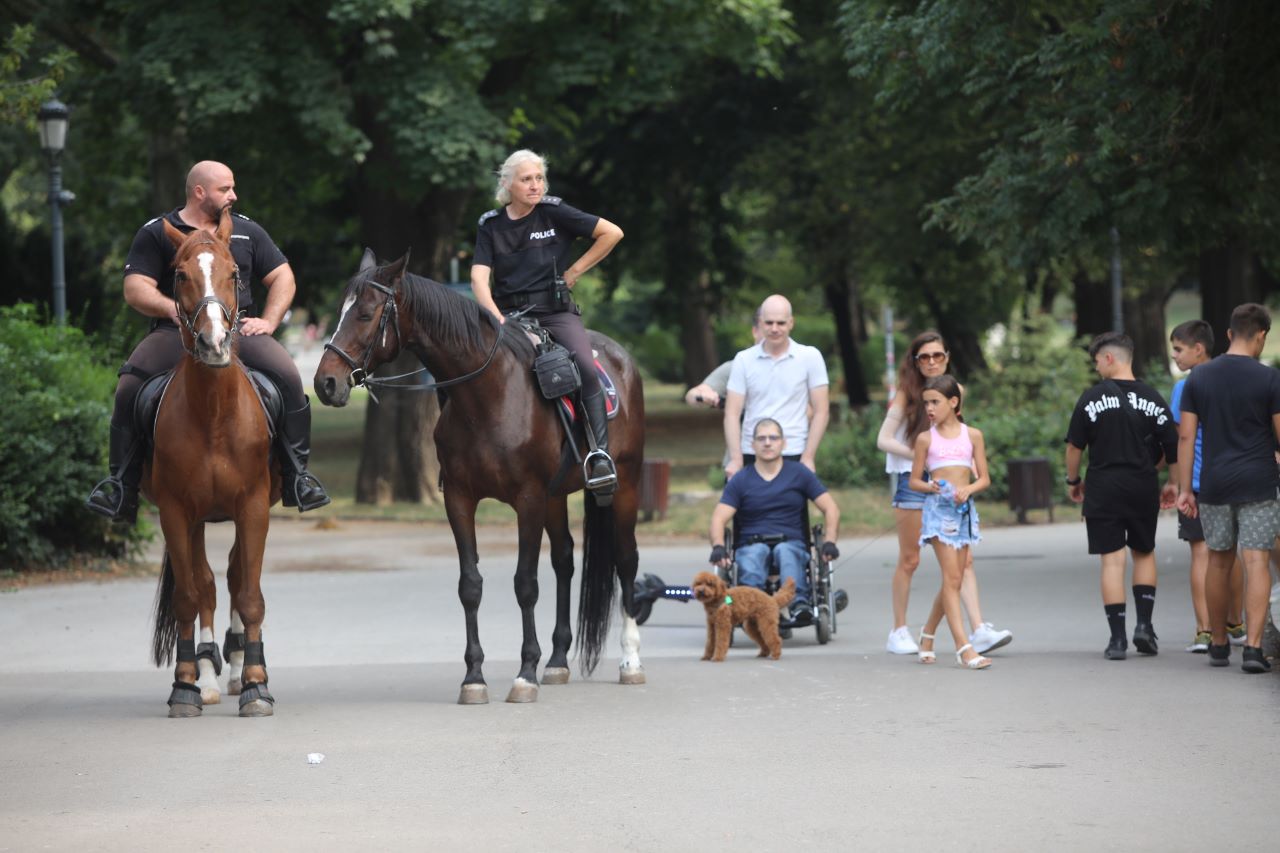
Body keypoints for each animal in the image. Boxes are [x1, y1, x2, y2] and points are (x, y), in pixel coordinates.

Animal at [148, 208, 281, 712]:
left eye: (235, 273)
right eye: (180, 275)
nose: (214, 343)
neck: (213, 414)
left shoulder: (254, 505)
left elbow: (249, 592)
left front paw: (256, 682)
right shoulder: (176, 511)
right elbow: (190, 594)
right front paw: (186, 682)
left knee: (235, 575)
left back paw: (240, 666)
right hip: (199, 519)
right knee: (206, 583)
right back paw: (206, 674)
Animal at [314, 249, 645, 701]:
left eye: (365, 313)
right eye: (339, 312)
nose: (324, 383)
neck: (487, 394)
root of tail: (622, 358)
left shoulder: (528, 499)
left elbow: (525, 584)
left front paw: (525, 672)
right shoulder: (460, 498)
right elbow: (470, 585)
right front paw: (474, 676)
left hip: (625, 482)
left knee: (625, 559)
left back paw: (630, 659)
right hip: (557, 496)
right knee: (564, 561)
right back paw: (558, 660)